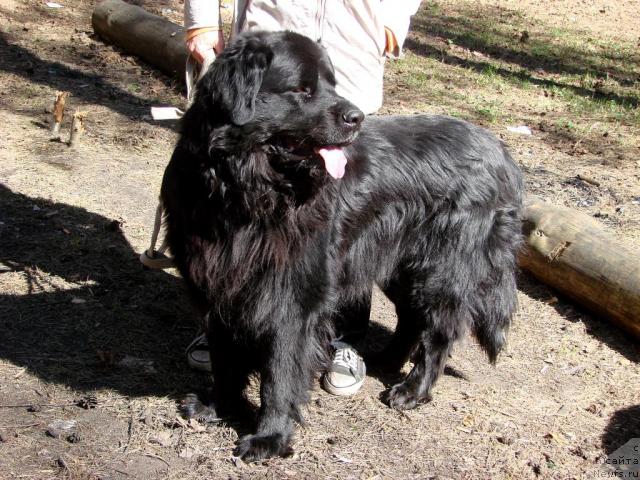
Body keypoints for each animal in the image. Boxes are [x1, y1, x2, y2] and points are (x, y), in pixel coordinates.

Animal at [161, 31, 524, 462]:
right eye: (302, 90)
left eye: (333, 85)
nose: (356, 117)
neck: (246, 195)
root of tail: (501, 152)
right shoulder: (218, 284)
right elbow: (224, 356)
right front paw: (217, 405)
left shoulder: (292, 297)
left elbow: (279, 372)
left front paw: (270, 437)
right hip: (398, 264)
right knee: (411, 318)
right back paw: (384, 360)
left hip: (442, 269)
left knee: (439, 331)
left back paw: (411, 390)